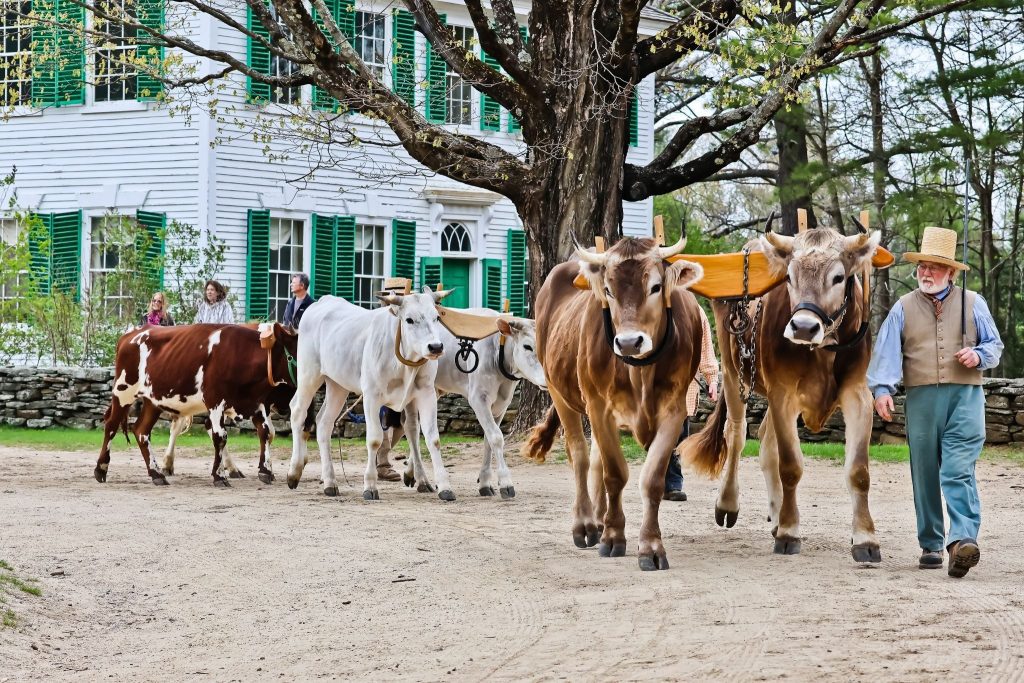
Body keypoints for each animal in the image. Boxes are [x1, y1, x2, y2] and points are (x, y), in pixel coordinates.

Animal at [94, 322, 299, 487]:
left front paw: (265, 471)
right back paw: (101, 468)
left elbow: (266, 432)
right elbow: (220, 436)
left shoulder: (256, 402)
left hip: (153, 400)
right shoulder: (215, 401)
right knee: (111, 425)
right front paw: (219, 476)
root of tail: (131, 335)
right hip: (123, 391)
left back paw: (156, 473)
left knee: (141, 431)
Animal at [286, 288, 455, 500]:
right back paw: (294, 471)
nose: (436, 347)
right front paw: (370, 486)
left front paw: (445, 487)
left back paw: (330, 482)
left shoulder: (426, 394)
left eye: (437, 317)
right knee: (297, 412)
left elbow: (433, 439)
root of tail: (322, 302)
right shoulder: (371, 396)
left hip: (337, 385)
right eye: (409, 319)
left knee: (324, 423)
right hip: (309, 375)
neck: (404, 360)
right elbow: (374, 439)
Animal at [375, 313, 547, 500]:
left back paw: (411, 472)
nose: (546, 380)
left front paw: (485, 482)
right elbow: (496, 437)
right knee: (412, 428)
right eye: (527, 346)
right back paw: (422, 480)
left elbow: (488, 440)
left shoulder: (502, 404)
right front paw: (506, 483)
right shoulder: (478, 397)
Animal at [523, 236, 705, 571]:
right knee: (580, 456)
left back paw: (599, 520)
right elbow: (615, 474)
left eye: (656, 287)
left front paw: (650, 546)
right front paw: (613, 537)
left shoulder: (674, 411)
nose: (629, 342)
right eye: (607, 290)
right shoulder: (599, 407)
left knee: (595, 459)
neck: (640, 371)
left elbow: (652, 479)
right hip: (559, 392)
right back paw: (585, 524)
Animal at [678, 226, 883, 562]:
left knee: (765, 442)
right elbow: (790, 466)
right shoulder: (783, 394)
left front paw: (865, 538)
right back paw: (729, 503)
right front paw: (789, 531)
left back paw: (776, 513)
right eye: (789, 276)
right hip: (734, 375)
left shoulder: (858, 396)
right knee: (737, 435)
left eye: (839, 277)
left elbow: (859, 471)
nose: (803, 326)